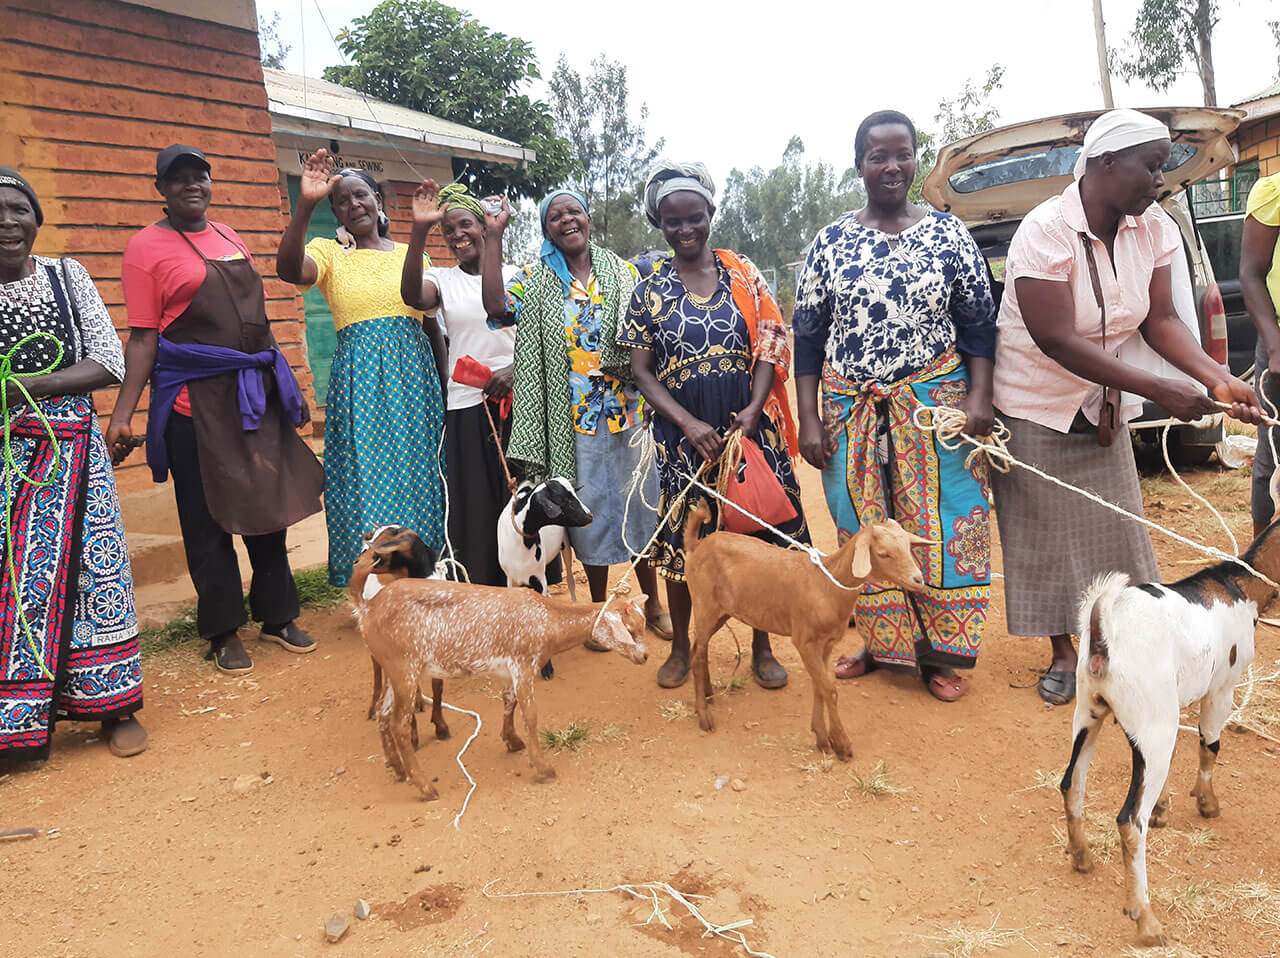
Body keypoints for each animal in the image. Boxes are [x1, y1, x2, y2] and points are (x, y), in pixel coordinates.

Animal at [350, 535, 650, 799]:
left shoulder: (508, 671)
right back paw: (425, 788)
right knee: (399, 724)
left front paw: (512, 741)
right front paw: (543, 768)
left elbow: (509, 702)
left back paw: (400, 770)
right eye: (630, 630)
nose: (645, 656)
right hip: (404, 670)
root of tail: (367, 607)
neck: (546, 618)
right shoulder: (524, 665)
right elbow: (531, 714)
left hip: (394, 670)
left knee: (383, 715)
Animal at [496, 476, 591, 676]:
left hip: (565, 548)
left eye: (574, 494)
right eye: (563, 500)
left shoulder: (539, 578)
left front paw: (546, 666)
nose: (589, 516)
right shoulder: (511, 580)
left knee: (570, 581)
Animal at [686, 496, 926, 758]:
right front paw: (841, 744)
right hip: (704, 604)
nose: (918, 580)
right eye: (883, 554)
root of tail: (697, 545)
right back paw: (704, 716)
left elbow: (819, 686)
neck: (827, 586)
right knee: (697, 656)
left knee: (698, 649)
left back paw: (708, 694)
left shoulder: (826, 645)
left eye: (908, 547)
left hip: (721, 612)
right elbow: (829, 689)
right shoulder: (805, 641)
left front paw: (822, 737)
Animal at [1054, 525, 1274, 952]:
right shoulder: (1221, 689)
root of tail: (1103, 634)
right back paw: (1146, 920)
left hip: (1090, 711)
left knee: (1072, 782)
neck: (1238, 585)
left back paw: (1082, 857)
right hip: (1153, 718)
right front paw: (1206, 803)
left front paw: (1163, 807)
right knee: (1129, 821)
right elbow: (1210, 744)